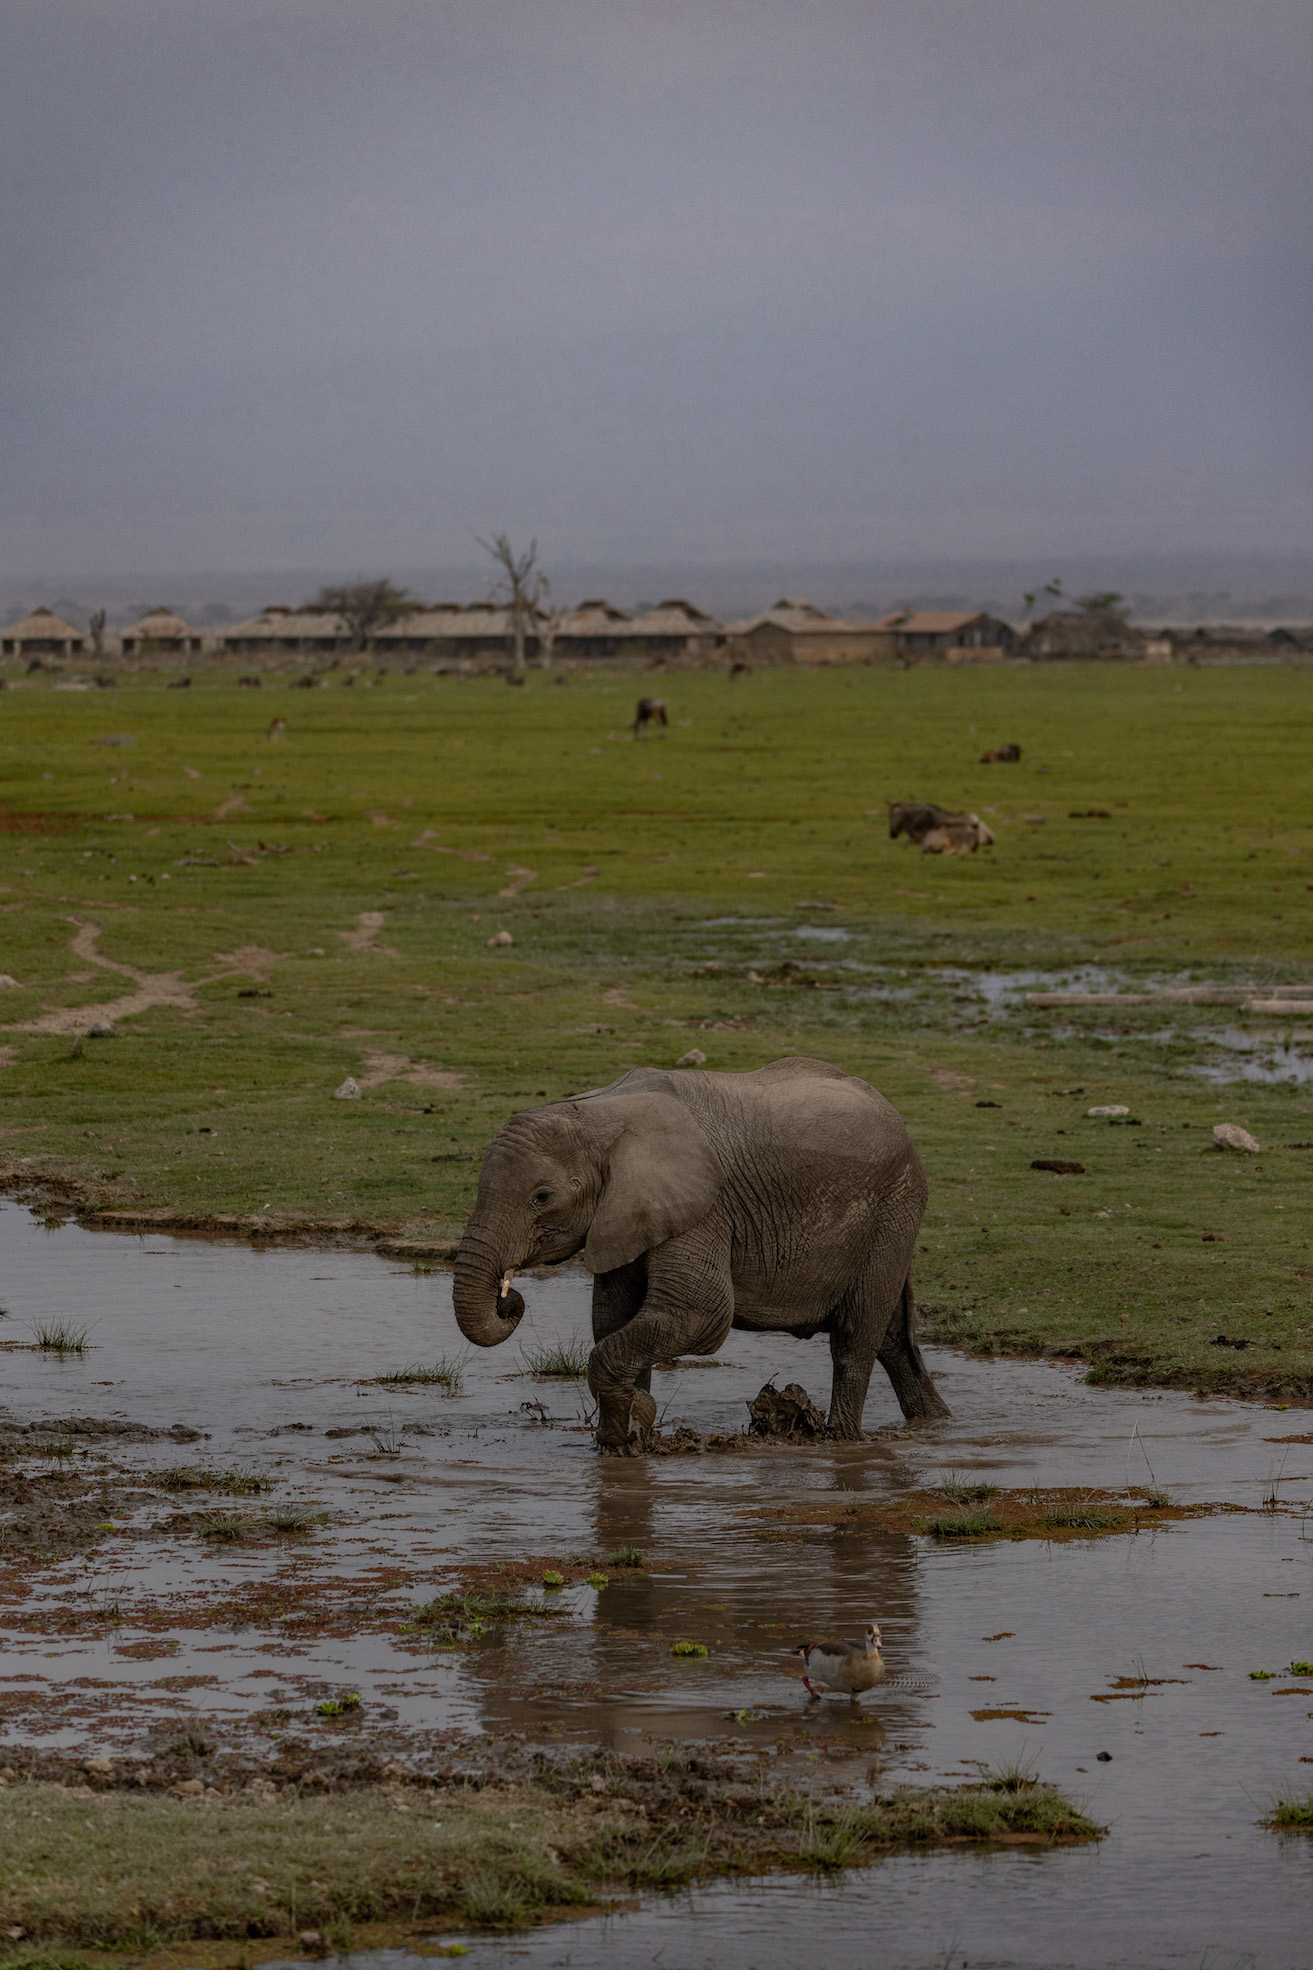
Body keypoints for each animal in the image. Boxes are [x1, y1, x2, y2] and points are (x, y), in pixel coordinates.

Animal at [447, 1055, 942, 1457]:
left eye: (542, 1197)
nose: (509, 1300)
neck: (598, 1114)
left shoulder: (703, 1209)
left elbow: (699, 1313)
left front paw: (632, 1425)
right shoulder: (627, 1213)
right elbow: (613, 1318)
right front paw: (627, 1437)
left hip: (893, 1210)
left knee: (856, 1337)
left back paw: (840, 1439)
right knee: (894, 1337)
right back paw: (933, 1423)